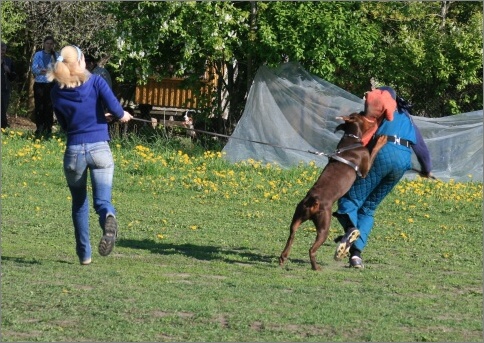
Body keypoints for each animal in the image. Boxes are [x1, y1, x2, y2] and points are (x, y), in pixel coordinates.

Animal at [278, 113, 388, 272]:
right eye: (360, 115)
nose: (364, 112)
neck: (352, 139)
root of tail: (313, 200)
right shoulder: (365, 169)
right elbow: (372, 150)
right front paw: (380, 140)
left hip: (297, 216)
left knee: (291, 235)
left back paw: (283, 258)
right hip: (324, 225)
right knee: (311, 249)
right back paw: (316, 267)